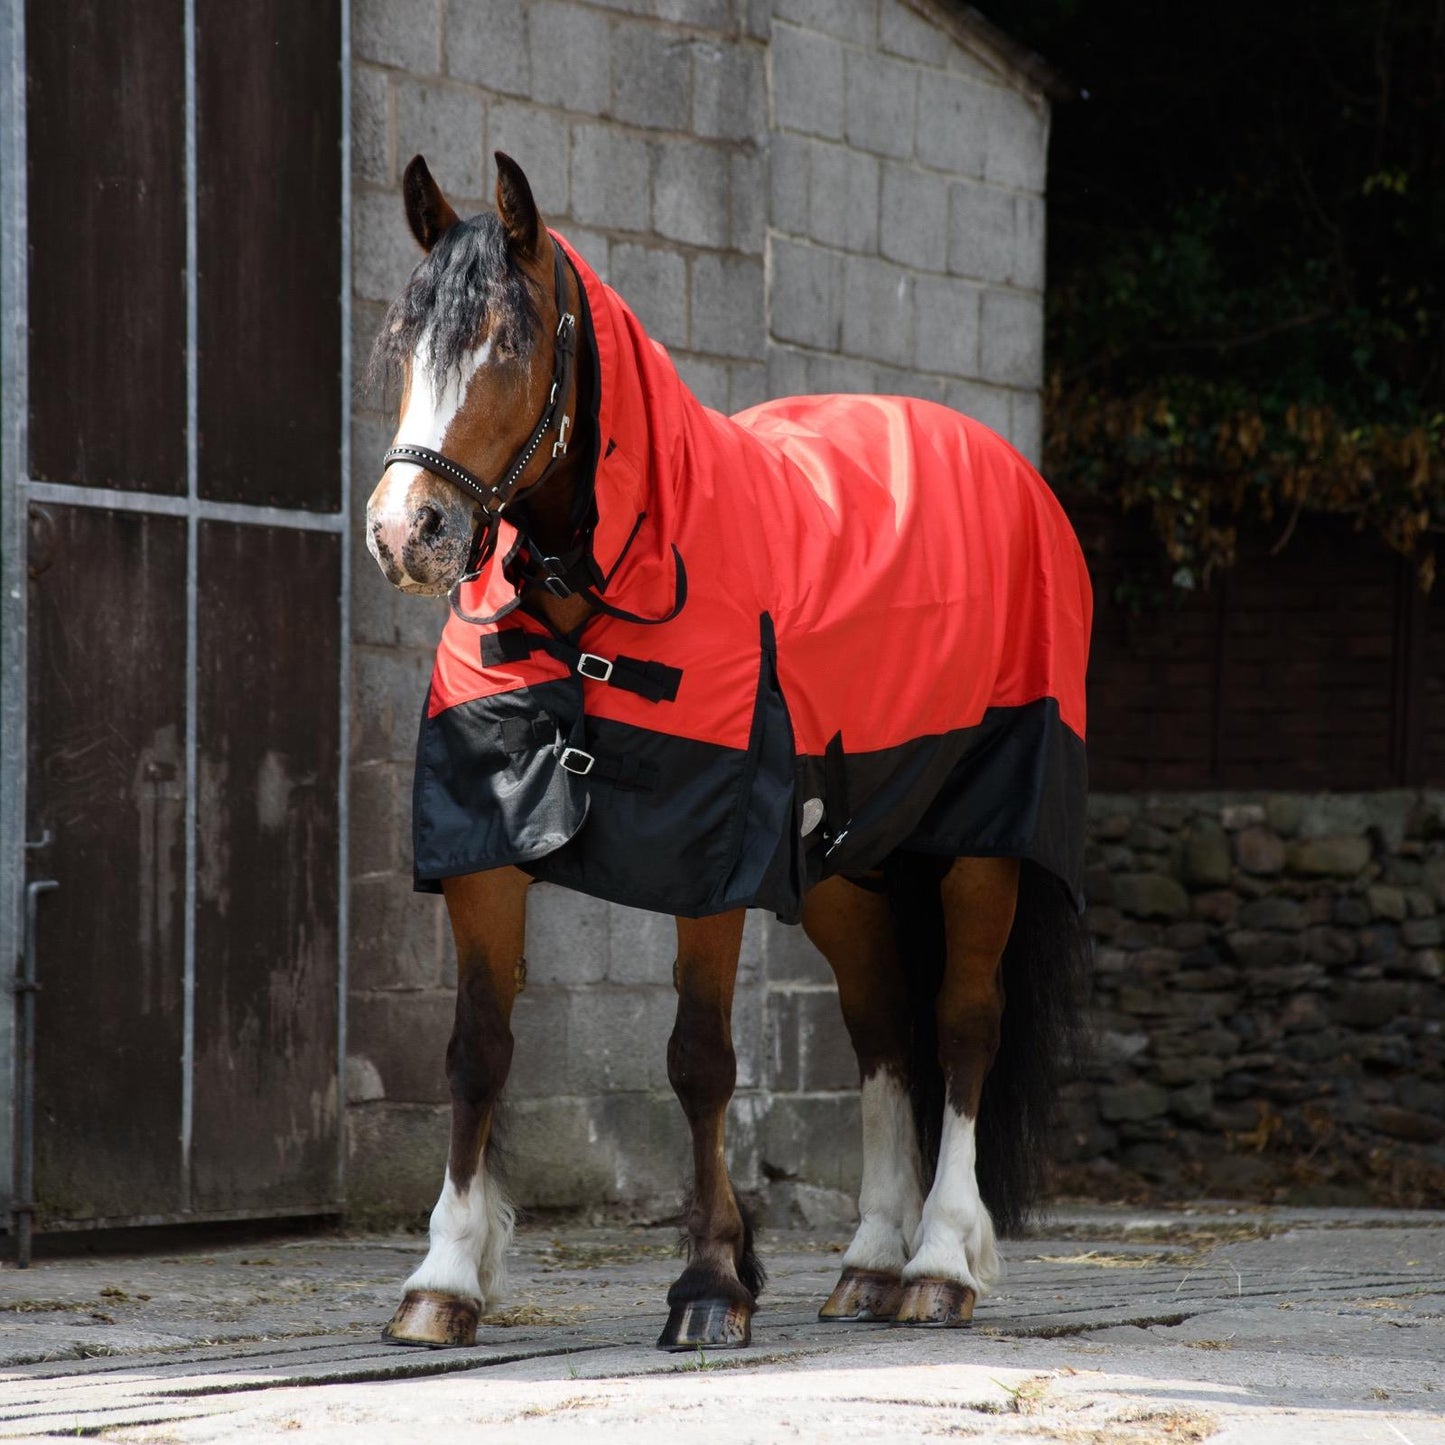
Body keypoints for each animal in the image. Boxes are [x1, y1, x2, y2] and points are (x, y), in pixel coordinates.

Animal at [364, 151, 1092, 1352]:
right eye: (404, 343)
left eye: (508, 344)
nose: (405, 532)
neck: (607, 583)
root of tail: (1007, 467)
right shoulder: (484, 849)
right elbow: (477, 1050)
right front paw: (445, 1276)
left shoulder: (707, 857)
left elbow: (699, 1060)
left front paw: (709, 1281)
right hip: (845, 863)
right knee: (882, 1033)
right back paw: (866, 1263)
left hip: (981, 844)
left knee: (962, 1027)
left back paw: (938, 1262)